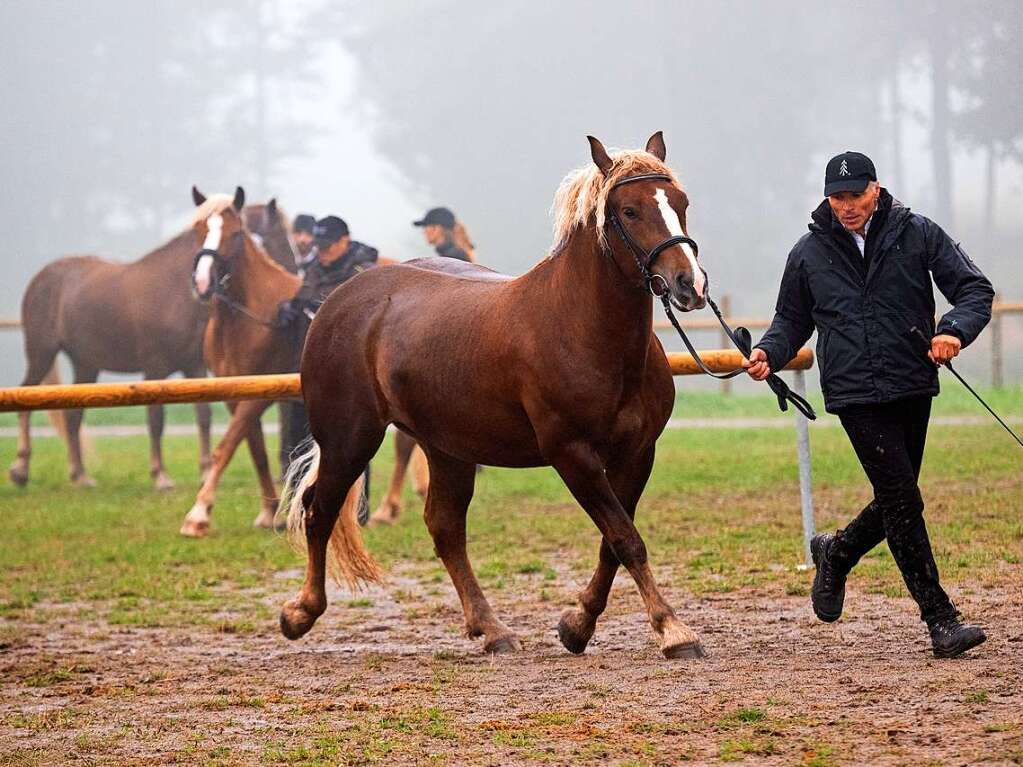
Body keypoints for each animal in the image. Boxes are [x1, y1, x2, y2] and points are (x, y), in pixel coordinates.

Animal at [9, 187, 292, 488]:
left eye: (236, 233)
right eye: (275, 235)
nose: (290, 273)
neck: (177, 293)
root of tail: (43, 277)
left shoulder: (194, 366)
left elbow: (203, 414)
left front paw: (205, 470)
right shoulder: (154, 367)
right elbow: (156, 419)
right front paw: (161, 475)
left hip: (85, 364)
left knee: (72, 415)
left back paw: (80, 475)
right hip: (41, 353)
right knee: (26, 397)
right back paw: (21, 468)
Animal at [181, 195, 300, 535]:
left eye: (234, 234)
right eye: (198, 229)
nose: (203, 283)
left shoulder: (258, 396)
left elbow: (226, 445)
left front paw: (198, 513)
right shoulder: (235, 394)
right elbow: (256, 450)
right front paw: (269, 512)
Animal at [280, 131, 712, 662]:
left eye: (680, 203)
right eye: (629, 211)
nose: (689, 284)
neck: (585, 331)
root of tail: (338, 298)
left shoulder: (637, 454)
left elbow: (613, 542)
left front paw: (577, 625)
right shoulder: (572, 455)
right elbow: (625, 539)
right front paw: (674, 629)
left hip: (447, 449)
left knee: (444, 528)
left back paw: (491, 629)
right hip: (349, 440)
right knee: (319, 512)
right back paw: (301, 612)